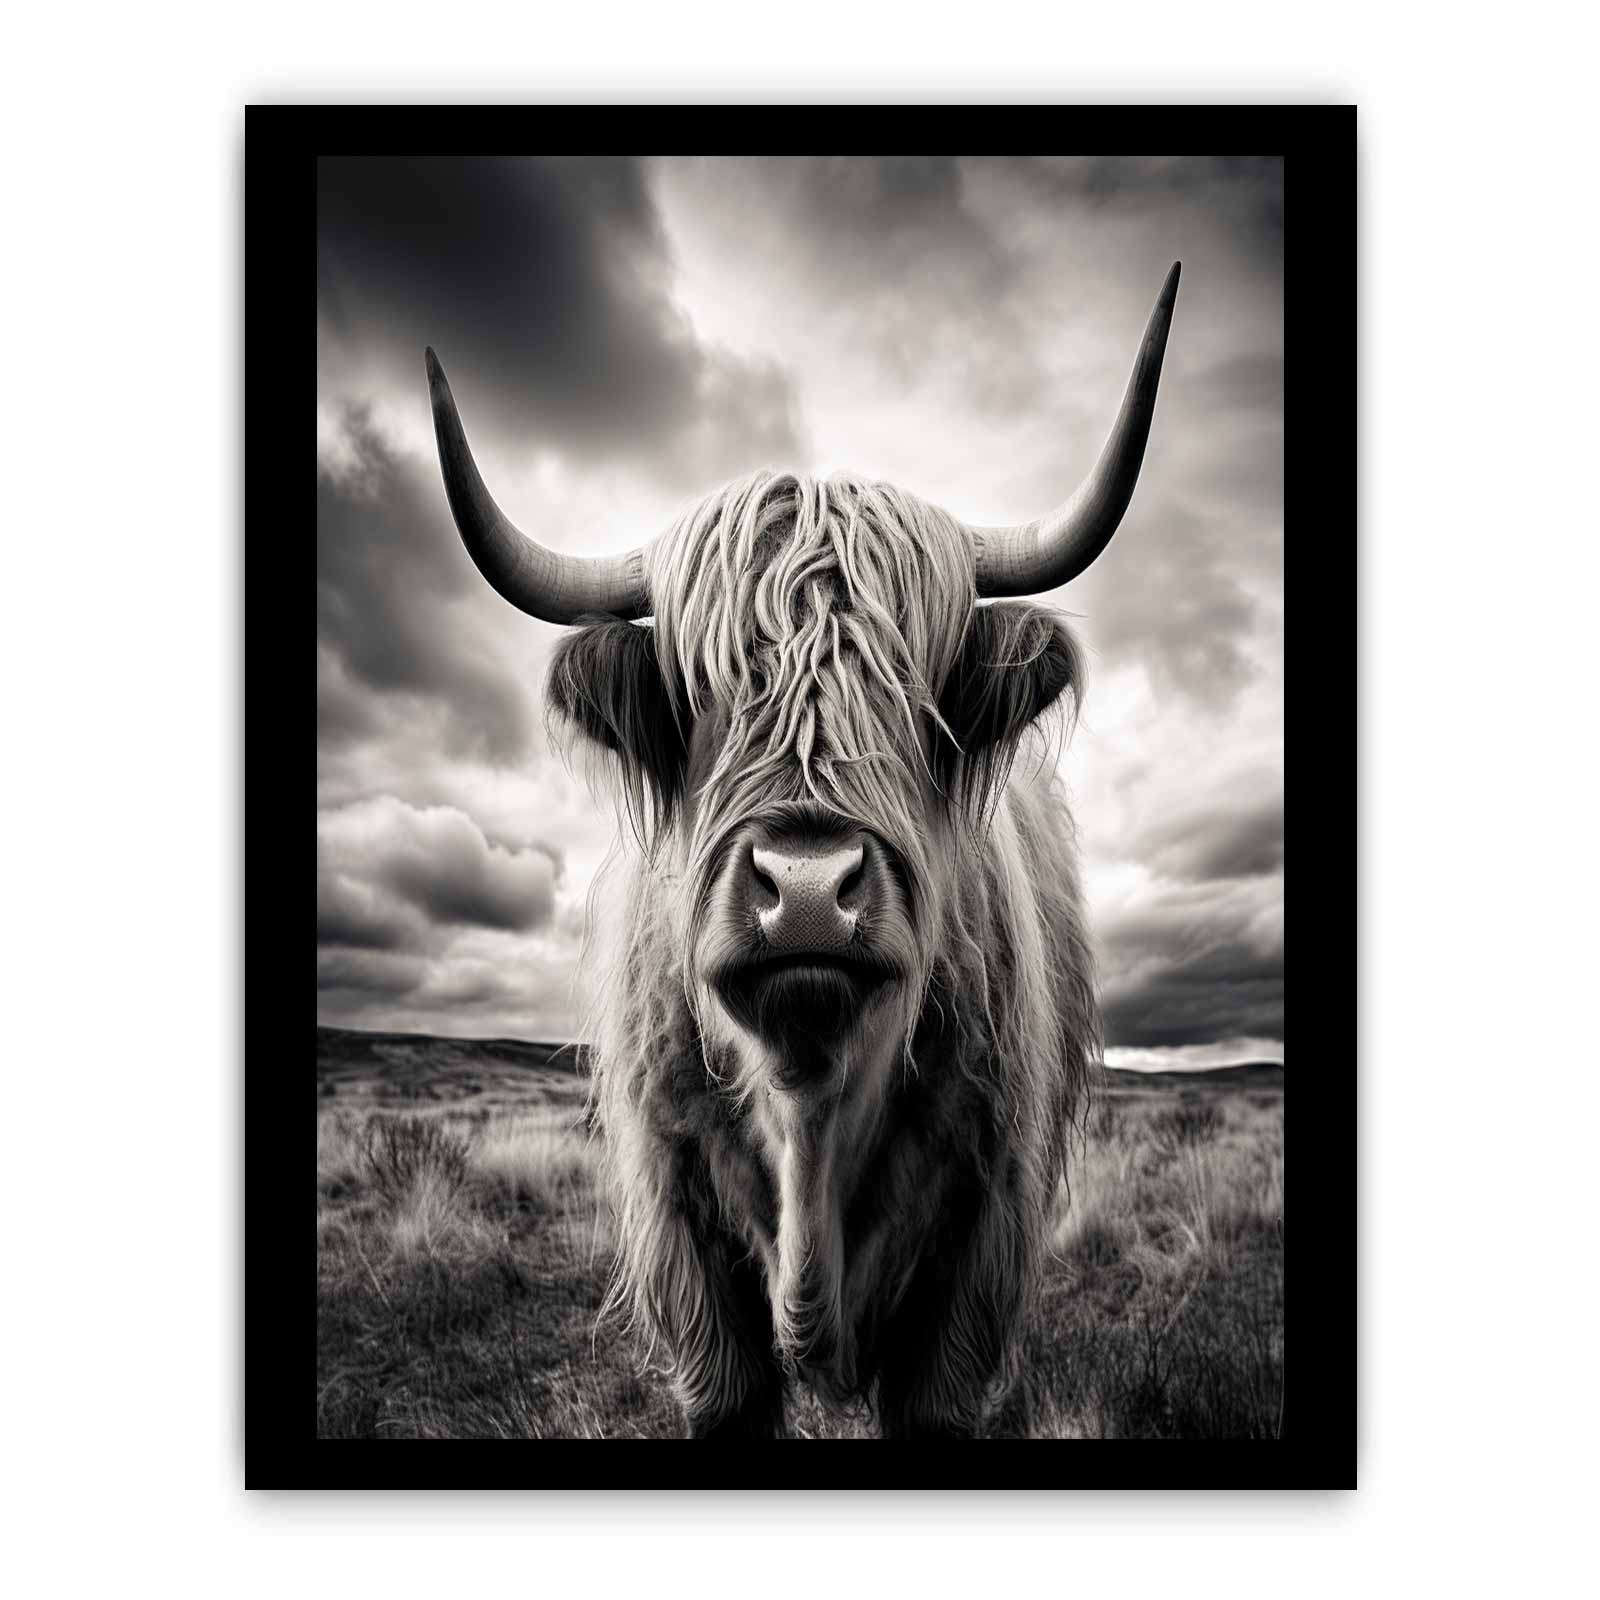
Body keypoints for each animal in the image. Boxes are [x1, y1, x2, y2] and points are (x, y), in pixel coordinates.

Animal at [425, 262, 1180, 1437]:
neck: (811, 1108)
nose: (811, 890)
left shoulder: (973, 1255)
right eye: (703, 696)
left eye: (913, 700)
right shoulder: (688, 1256)